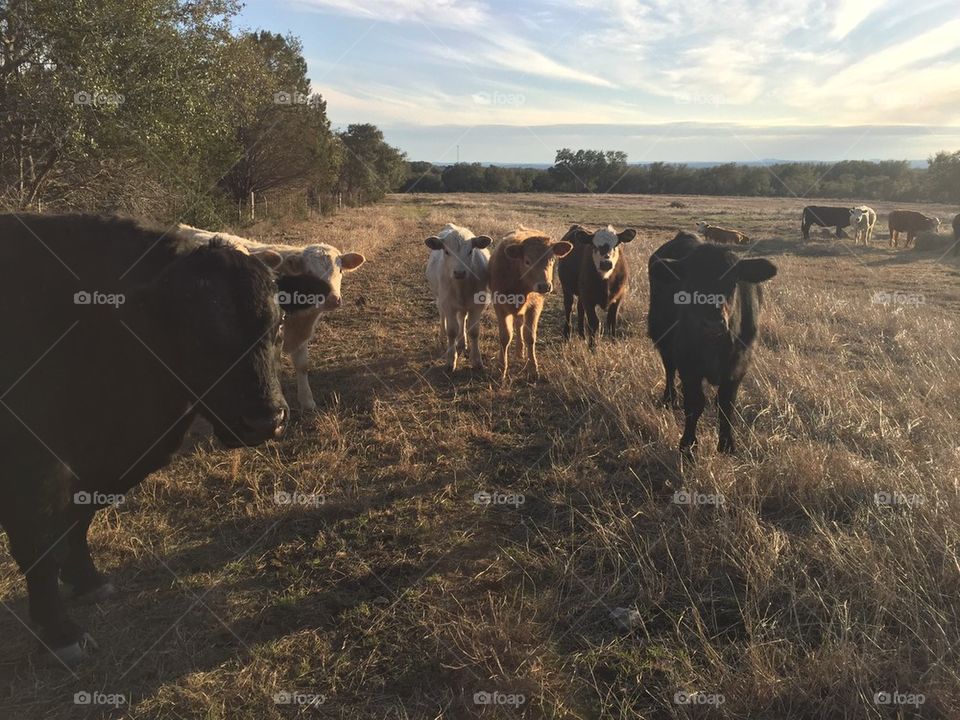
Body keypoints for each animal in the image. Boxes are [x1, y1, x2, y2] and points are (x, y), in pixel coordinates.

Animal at [0, 214, 288, 665]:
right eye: (196, 334)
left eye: (278, 325)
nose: (265, 421)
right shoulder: (31, 470)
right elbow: (41, 547)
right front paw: (61, 631)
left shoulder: (100, 467)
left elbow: (78, 522)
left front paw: (88, 581)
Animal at [424, 223, 492, 370]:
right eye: (446, 251)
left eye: (470, 251)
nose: (459, 272)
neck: (461, 287)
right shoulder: (448, 304)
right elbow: (451, 331)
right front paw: (451, 360)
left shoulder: (477, 306)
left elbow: (474, 331)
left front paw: (476, 360)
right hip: (440, 298)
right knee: (442, 316)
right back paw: (442, 338)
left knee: (462, 318)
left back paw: (462, 342)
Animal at [488, 227, 572, 380]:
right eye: (527, 261)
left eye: (552, 259)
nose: (544, 286)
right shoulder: (500, 306)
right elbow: (505, 337)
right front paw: (501, 368)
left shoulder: (535, 307)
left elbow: (530, 337)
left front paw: (533, 368)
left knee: (519, 324)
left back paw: (520, 351)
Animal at [648, 232, 777, 455]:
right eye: (690, 283)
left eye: (733, 282)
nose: (713, 324)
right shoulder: (688, 364)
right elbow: (694, 404)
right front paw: (688, 444)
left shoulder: (738, 366)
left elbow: (726, 405)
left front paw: (727, 444)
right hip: (663, 340)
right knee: (669, 369)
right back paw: (670, 398)